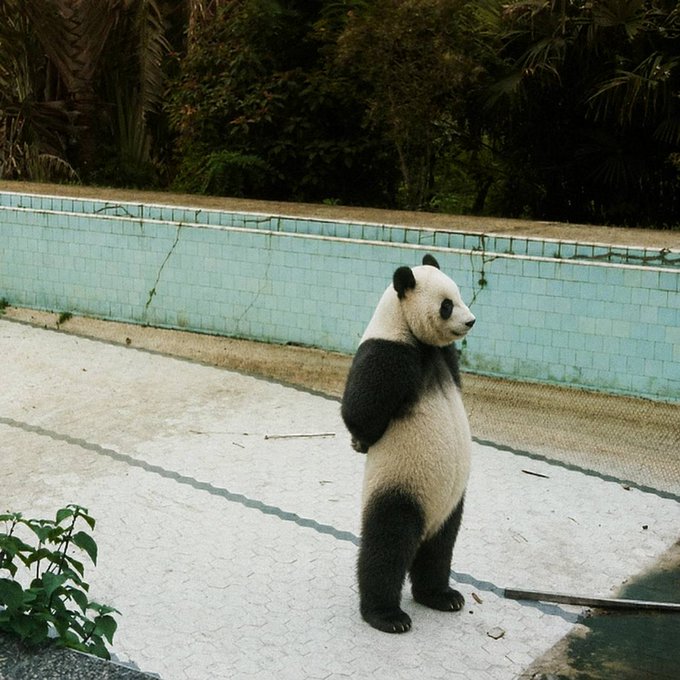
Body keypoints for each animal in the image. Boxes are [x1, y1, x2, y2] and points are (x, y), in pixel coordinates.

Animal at [341, 253, 475, 634]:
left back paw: (442, 595)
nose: (470, 321)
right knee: (387, 544)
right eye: (446, 305)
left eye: (459, 295)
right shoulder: (389, 352)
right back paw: (387, 615)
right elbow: (361, 410)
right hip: (401, 483)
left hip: (450, 502)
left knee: (440, 548)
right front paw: (362, 440)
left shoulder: (446, 357)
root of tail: (427, 523)